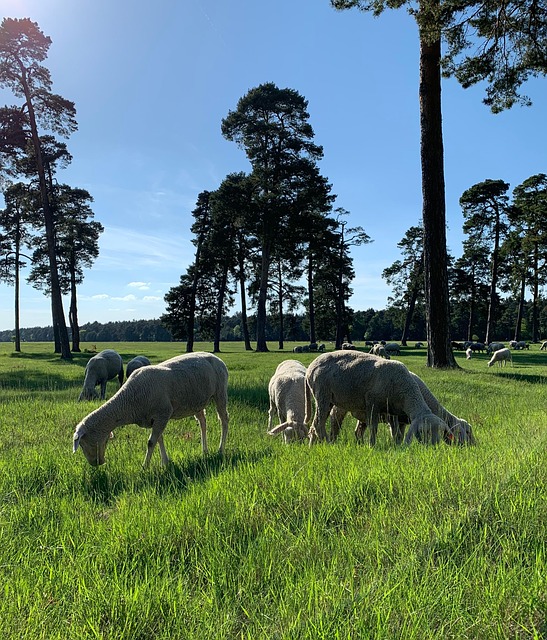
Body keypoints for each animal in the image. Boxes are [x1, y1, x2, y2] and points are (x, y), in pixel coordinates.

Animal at [73, 352, 229, 468]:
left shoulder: (163, 413)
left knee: (224, 419)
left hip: (220, 391)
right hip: (197, 401)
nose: (97, 463)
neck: (129, 401)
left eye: (83, 443)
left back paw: (220, 449)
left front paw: (145, 467)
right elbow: (159, 439)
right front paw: (165, 463)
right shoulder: (155, 419)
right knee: (203, 422)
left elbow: (151, 442)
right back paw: (205, 451)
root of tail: (217, 358)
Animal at [304, 351, 449, 447]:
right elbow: (373, 427)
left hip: (327, 399)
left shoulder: (392, 411)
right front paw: (371, 446)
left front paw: (396, 446)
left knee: (314, 425)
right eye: (425, 432)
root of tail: (310, 367)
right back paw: (327, 443)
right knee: (318, 424)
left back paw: (314, 445)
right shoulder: (372, 402)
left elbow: (396, 432)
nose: (433, 449)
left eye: (441, 432)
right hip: (322, 394)